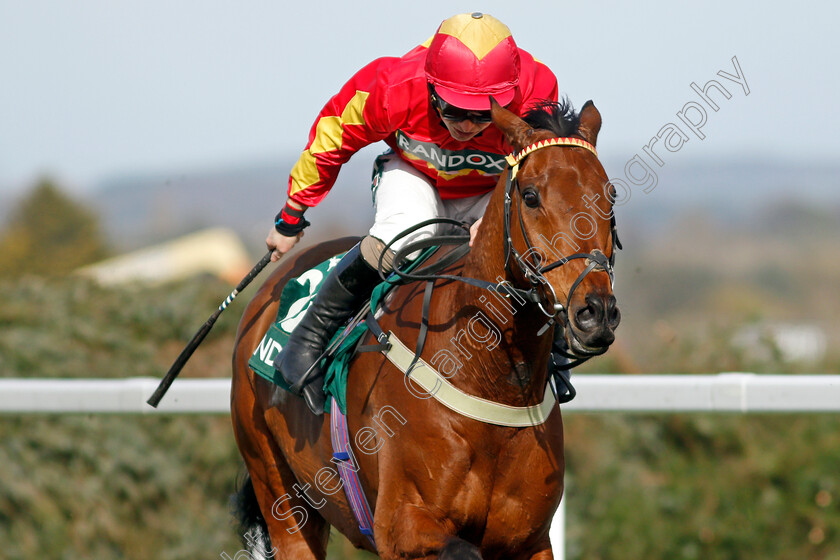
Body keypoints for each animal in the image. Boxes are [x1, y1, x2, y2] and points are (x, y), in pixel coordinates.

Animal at [233, 100, 620, 560]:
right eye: (530, 196)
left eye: (610, 195)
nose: (595, 312)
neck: (489, 377)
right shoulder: (400, 525)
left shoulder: (530, 540)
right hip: (278, 493)